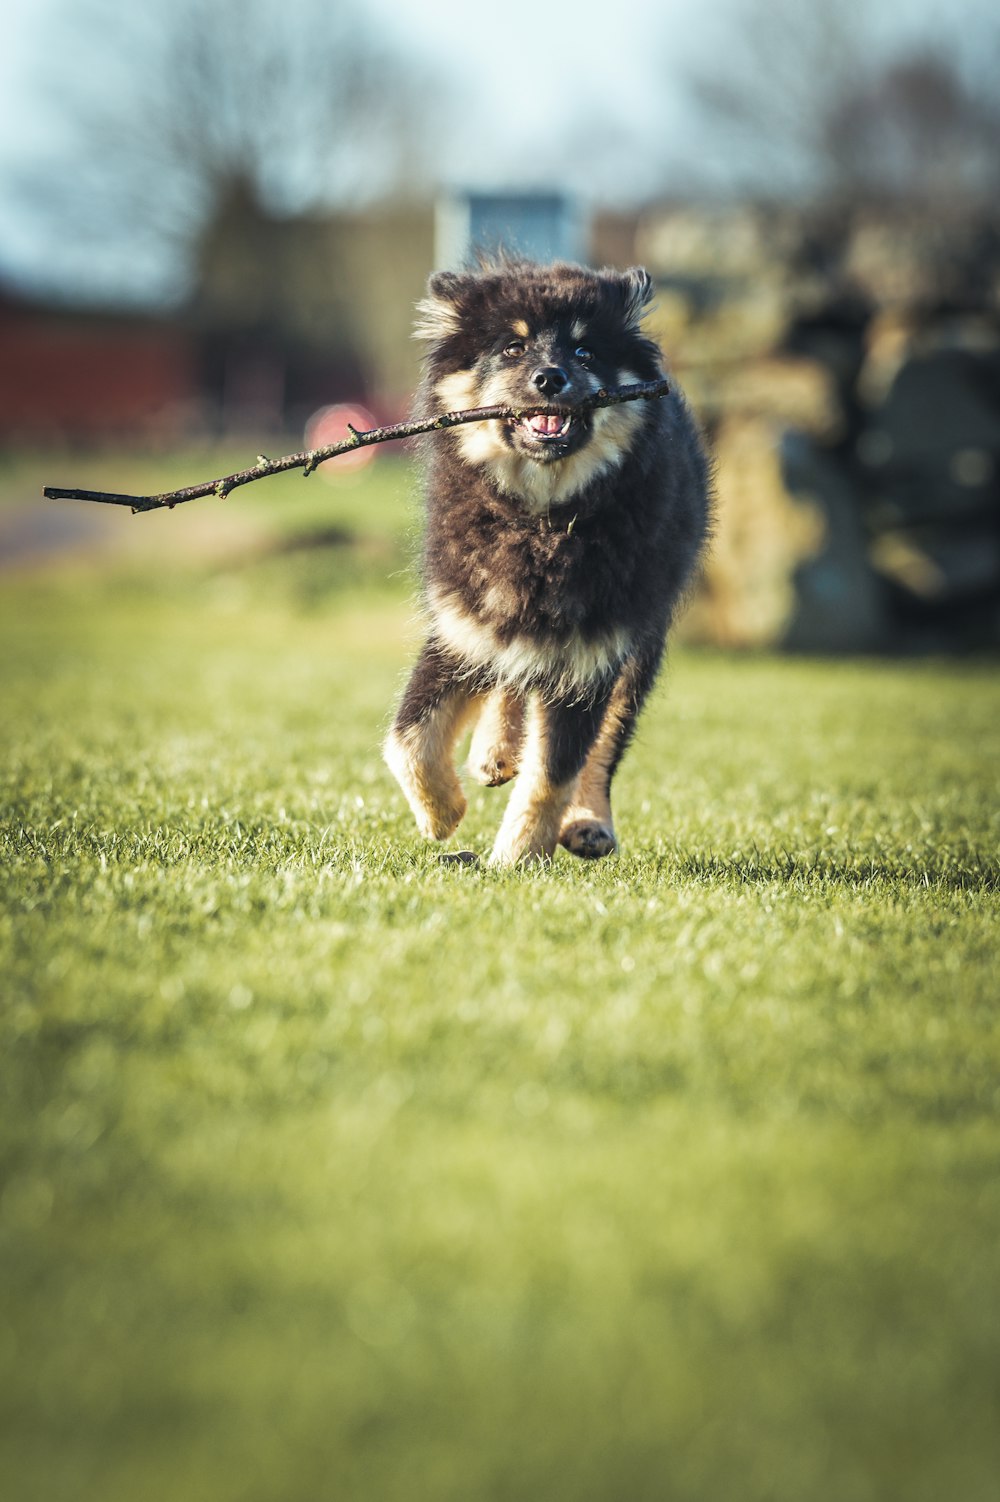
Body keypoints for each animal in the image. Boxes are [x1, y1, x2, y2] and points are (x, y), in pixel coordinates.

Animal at [382, 261, 708, 871]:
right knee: (510, 681)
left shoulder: (590, 655)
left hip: (637, 646)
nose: (550, 378)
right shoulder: (463, 626)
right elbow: (407, 737)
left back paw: (586, 822)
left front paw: (515, 860)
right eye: (512, 347)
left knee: (604, 743)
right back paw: (493, 752)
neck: (541, 518)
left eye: (584, 351)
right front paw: (442, 815)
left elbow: (555, 772)